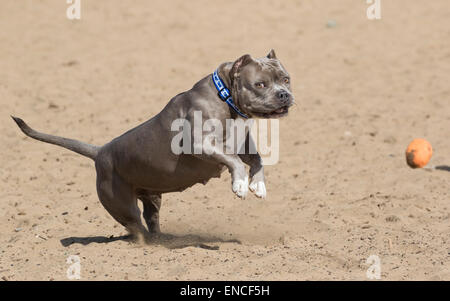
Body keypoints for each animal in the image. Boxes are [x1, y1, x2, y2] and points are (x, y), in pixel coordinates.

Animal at [12, 49, 294, 241]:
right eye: (260, 84)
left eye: (286, 79)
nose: (284, 95)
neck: (226, 97)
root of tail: (101, 151)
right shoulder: (200, 144)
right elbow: (233, 161)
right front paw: (240, 185)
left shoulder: (243, 144)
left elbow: (257, 160)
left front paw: (258, 185)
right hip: (121, 204)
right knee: (135, 227)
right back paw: (150, 244)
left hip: (152, 197)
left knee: (151, 218)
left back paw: (162, 238)